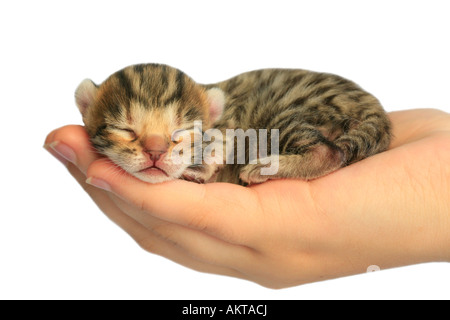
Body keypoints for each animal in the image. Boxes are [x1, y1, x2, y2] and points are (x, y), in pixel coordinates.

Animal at [75, 63, 392, 184]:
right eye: (125, 130)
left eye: (182, 131)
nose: (155, 152)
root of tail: (374, 107)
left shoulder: (236, 123)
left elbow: (221, 142)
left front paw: (202, 167)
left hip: (284, 114)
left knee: (329, 152)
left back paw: (264, 167)